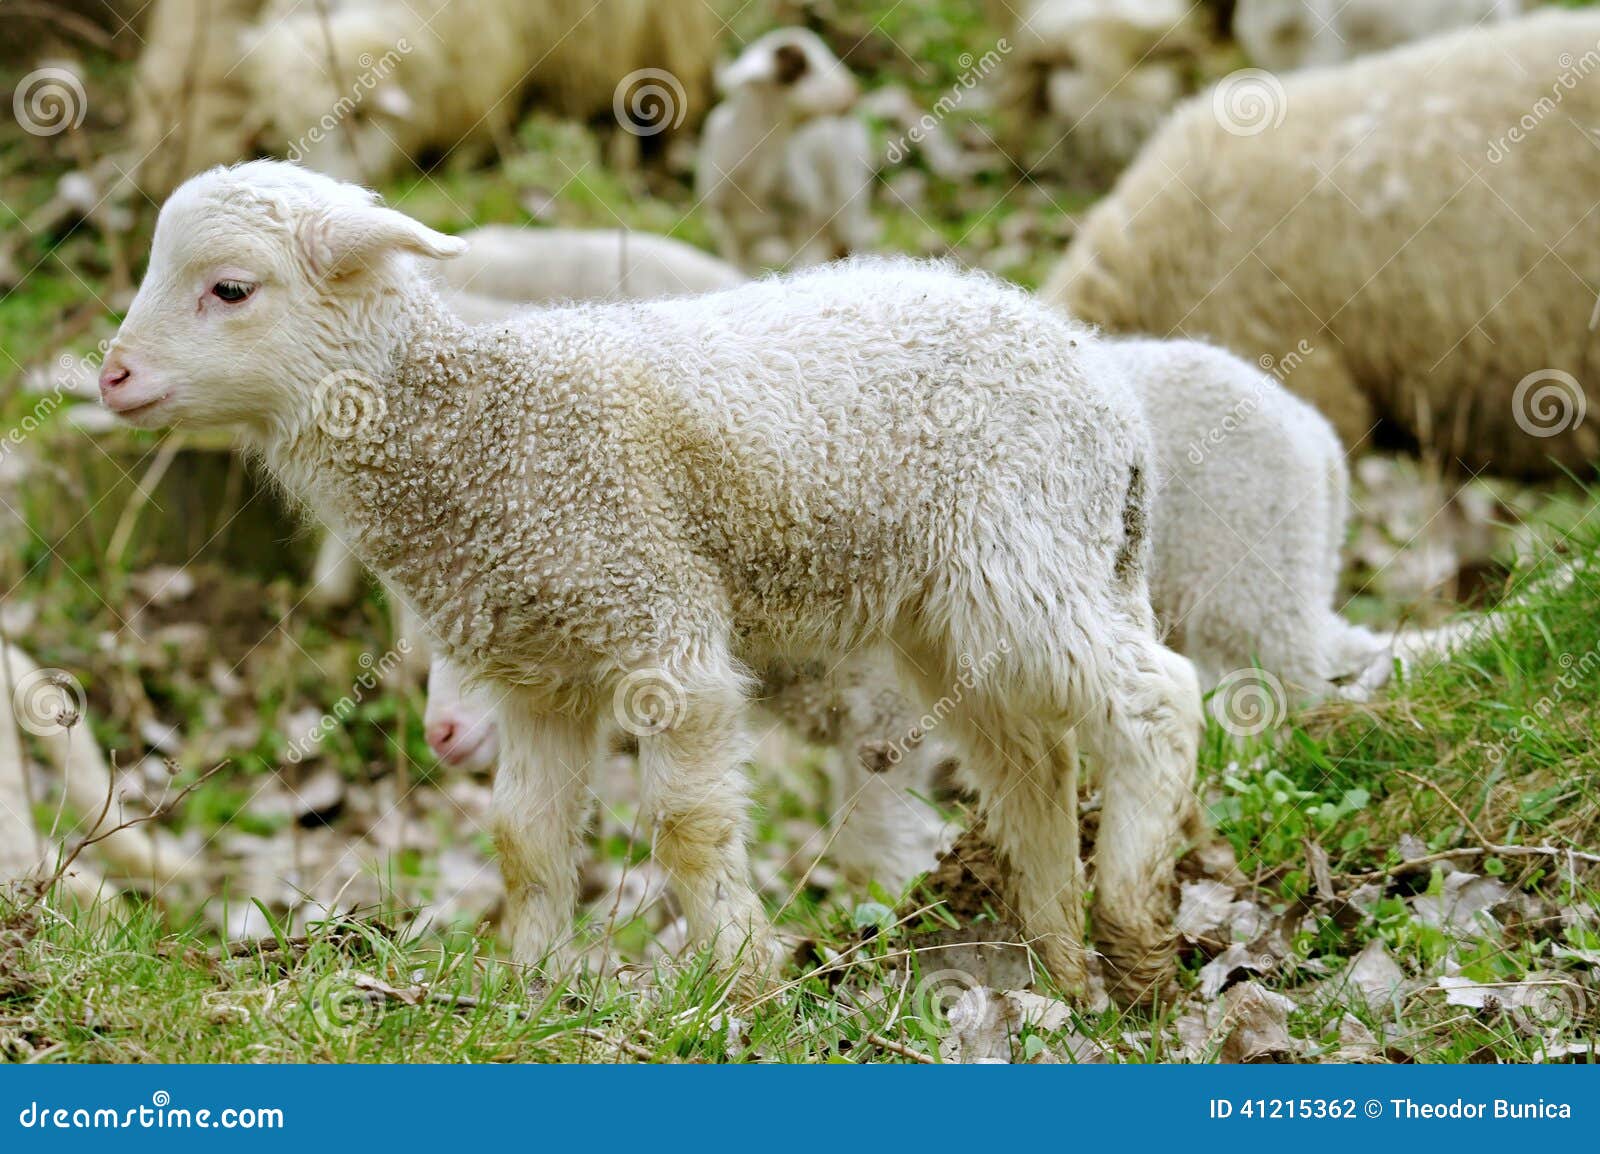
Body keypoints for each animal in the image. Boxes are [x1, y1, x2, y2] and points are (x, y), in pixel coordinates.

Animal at [100, 160, 1202, 1002]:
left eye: (230, 288)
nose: (111, 376)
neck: (479, 427)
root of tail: (1109, 395)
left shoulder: (659, 620)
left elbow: (685, 827)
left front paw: (745, 981)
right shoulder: (540, 671)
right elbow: (525, 839)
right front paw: (532, 990)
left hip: (1025, 553)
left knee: (1158, 698)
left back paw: (1135, 929)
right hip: (950, 613)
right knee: (1033, 760)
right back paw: (1063, 962)